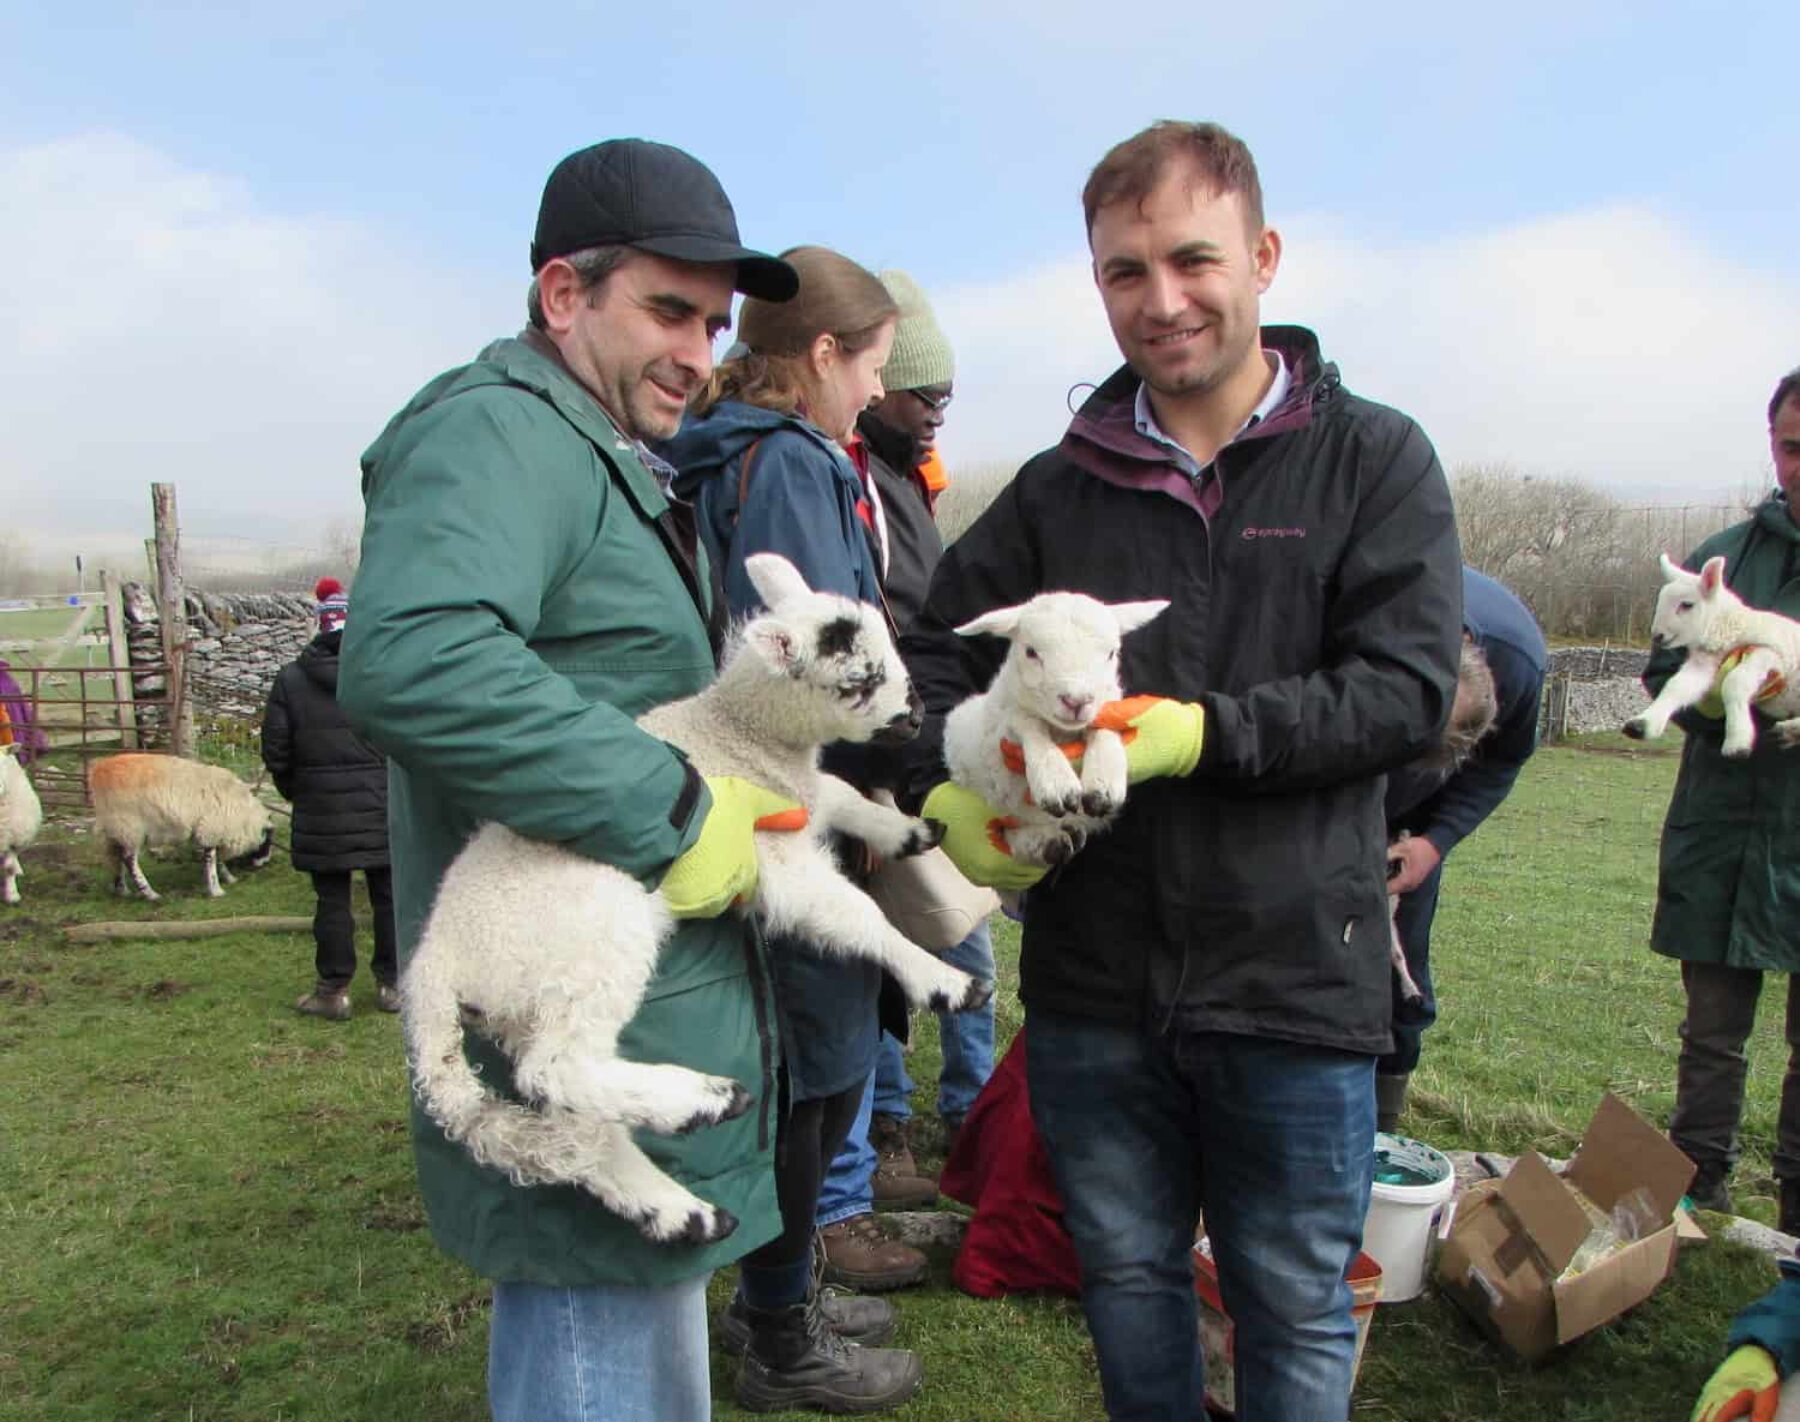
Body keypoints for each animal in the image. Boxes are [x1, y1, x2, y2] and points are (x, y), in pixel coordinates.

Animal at [89, 756, 273, 903]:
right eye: (267, 843)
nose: (265, 863)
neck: (243, 814)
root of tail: (98, 771)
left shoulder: (212, 830)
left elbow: (216, 858)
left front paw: (228, 878)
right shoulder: (211, 827)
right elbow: (211, 859)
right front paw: (216, 890)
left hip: (114, 828)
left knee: (115, 855)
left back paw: (122, 889)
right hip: (130, 827)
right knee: (129, 860)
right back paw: (150, 894)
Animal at [405, 558, 1000, 1245]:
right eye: (861, 680)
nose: (916, 713)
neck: (738, 734)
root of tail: (433, 972)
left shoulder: (793, 800)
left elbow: (839, 794)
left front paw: (908, 832)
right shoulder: (769, 854)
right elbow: (855, 915)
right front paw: (945, 982)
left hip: (521, 1005)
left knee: (577, 1128)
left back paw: (681, 1211)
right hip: (587, 945)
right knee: (555, 1069)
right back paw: (705, 1100)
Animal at [936, 586, 1173, 867]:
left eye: (1111, 654)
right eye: (1031, 652)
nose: (1077, 700)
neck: (1062, 733)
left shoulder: (1105, 707)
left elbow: (1103, 726)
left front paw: (1103, 781)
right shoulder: (1005, 723)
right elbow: (1028, 724)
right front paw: (1056, 781)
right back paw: (1048, 843)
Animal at [1627, 554, 1800, 763]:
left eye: (1686, 605)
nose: (1657, 636)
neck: (1729, 628)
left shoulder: (1773, 653)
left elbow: (1734, 682)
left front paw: (1737, 742)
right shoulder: (1705, 661)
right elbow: (1676, 686)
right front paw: (1642, 724)